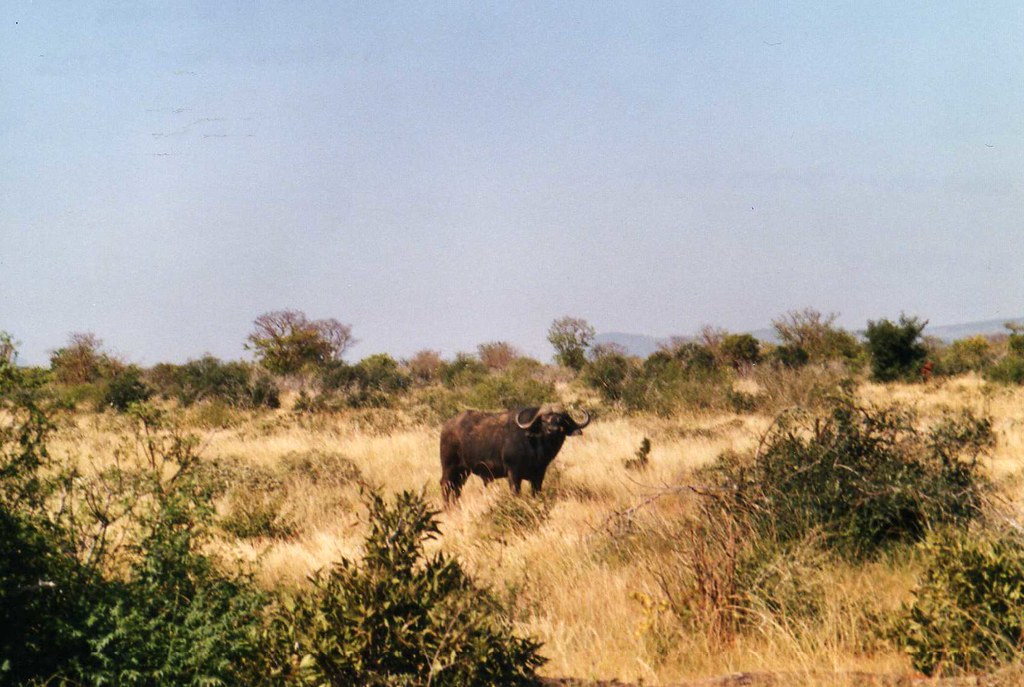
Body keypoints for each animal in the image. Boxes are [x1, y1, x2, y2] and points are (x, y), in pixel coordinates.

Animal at [439, 404, 591, 505]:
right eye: (543, 420)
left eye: (561, 420)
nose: (553, 430)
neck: (535, 445)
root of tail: (446, 427)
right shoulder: (513, 473)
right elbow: (515, 492)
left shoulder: (539, 475)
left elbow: (536, 492)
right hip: (449, 467)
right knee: (446, 485)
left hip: (463, 471)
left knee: (457, 488)